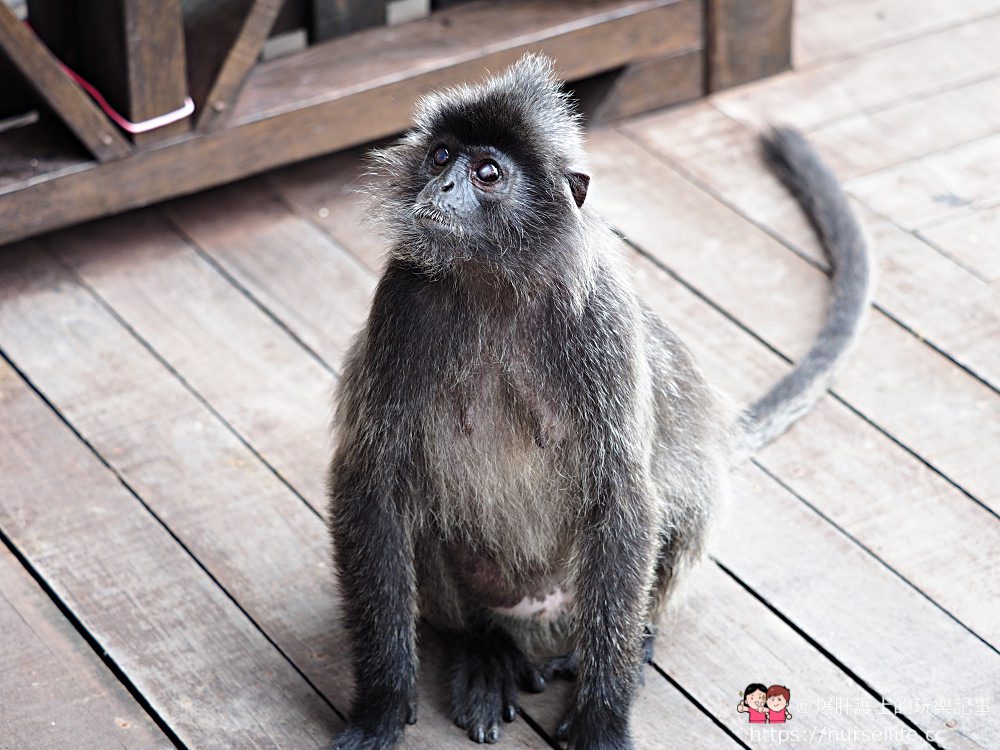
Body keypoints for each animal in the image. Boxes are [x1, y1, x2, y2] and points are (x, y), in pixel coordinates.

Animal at [326, 54, 868, 750]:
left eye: (487, 173)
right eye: (442, 154)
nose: (440, 187)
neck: (494, 284)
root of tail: (539, 620)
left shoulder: (599, 321)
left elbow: (625, 496)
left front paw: (601, 720)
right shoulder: (402, 300)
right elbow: (373, 485)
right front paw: (382, 709)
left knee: (683, 498)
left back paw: (621, 646)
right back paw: (485, 648)